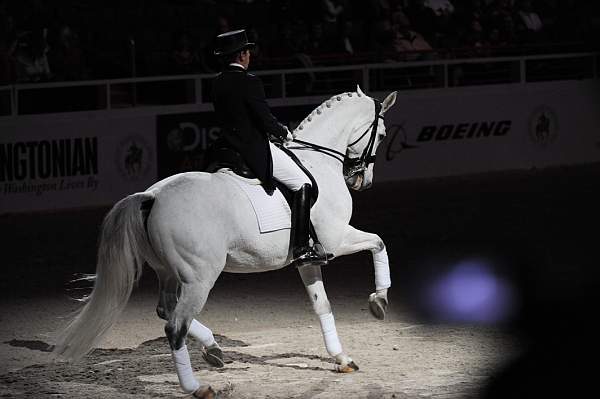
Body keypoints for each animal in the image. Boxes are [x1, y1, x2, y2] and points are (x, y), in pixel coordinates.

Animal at [52, 86, 398, 398]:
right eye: (381, 134)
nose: (361, 180)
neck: (317, 161)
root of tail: (152, 197)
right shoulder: (336, 239)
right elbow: (379, 242)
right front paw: (379, 301)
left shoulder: (309, 258)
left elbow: (322, 304)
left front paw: (342, 358)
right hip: (199, 277)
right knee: (174, 325)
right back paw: (198, 387)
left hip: (167, 272)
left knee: (166, 310)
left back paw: (213, 350)